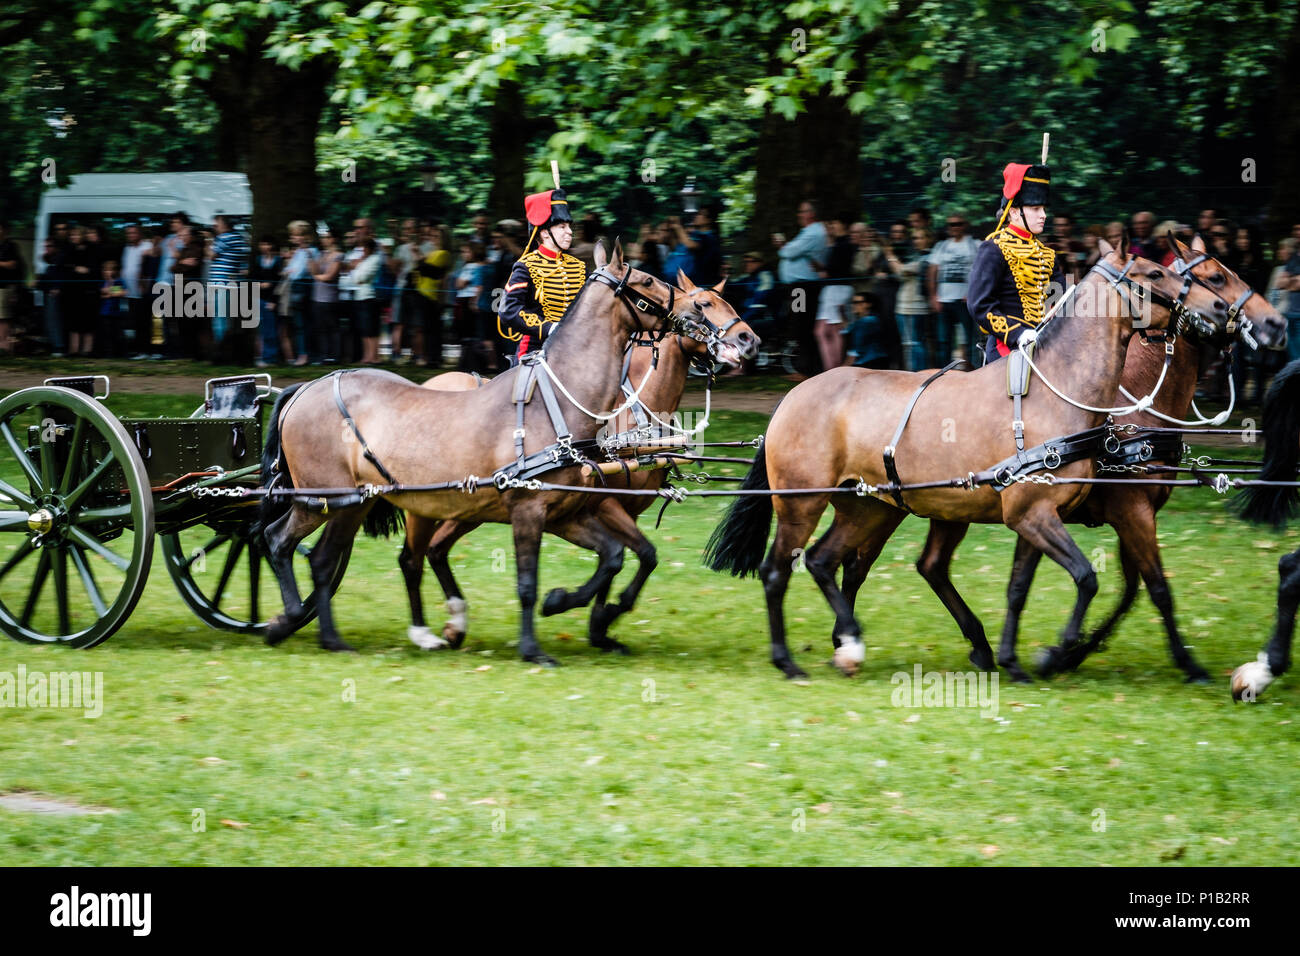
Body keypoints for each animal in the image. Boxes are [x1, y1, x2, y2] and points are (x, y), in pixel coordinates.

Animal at [262, 243, 707, 660]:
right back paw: (295, 619)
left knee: (324, 561)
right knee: (283, 543)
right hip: (328, 498)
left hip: (358, 504)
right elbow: (527, 583)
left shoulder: (565, 512)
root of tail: (305, 388)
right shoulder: (530, 510)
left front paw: (564, 603)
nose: (696, 312)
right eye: (646, 280)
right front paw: (533, 648)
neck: (556, 403)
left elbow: (612, 556)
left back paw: (328, 634)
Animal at [400, 273, 759, 655]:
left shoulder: (620, 509)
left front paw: (600, 626)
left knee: (436, 549)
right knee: (418, 554)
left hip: (470, 507)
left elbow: (631, 558)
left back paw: (455, 625)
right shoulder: (601, 505)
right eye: (703, 304)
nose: (749, 339)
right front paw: (580, 609)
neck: (631, 413)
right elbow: (638, 555)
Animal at [712, 243, 1237, 686]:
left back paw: (853, 641)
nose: (1220, 311)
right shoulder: (1054, 514)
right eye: (1156, 273)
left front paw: (1018, 659)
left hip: (871, 508)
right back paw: (791, 659)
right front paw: (1059, 652)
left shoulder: (1034, 516)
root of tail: (791, 398)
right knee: (779, 570)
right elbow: (1093, 579)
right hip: (801, 504)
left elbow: (1024, 586)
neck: (1061, 393)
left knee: (831, 562)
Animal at [847, 238, 1284, 686]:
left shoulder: (1118, 516)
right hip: (896, 507)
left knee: (918, 565)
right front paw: (1180, 663)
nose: (1276, 323)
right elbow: (1155, 589)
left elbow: (1122, 589)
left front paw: (1067, 652)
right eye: (1214, 277)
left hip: (940, 510)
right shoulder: (1130, 511)